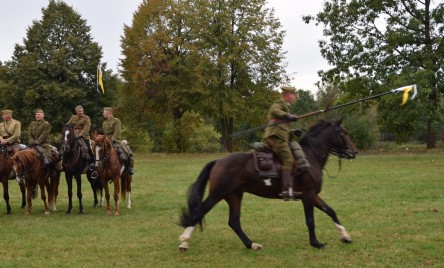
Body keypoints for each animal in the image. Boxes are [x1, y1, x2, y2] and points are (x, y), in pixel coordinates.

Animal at [179, 118, 360, 250]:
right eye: (342, 132)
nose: (354, 152)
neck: (310, 157)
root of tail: (218, 161)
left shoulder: (313, 195)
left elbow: (330, 211)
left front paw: (345, 236)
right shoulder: (308, 195)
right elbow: (310, 220)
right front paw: (316, 243)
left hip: (234, 196)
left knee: (234, 222)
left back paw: (252, 245)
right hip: (217, 194)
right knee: (199, 213)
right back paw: (184, 241)